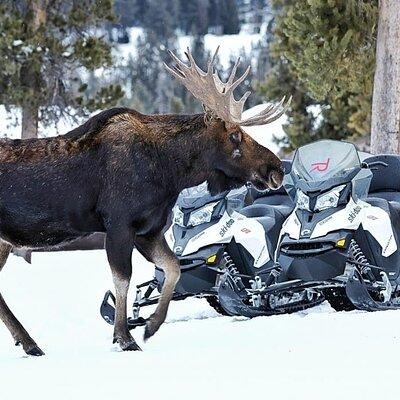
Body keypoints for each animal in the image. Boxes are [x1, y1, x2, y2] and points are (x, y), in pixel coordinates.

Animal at [0, 47, 290, 356]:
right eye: (235, 136)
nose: (276, 169)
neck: (168, 171)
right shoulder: (119, 224)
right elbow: (123, 279)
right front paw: (124, 337)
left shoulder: (148, 229)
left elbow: (173, 268)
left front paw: (151, 325)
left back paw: (29, 343)